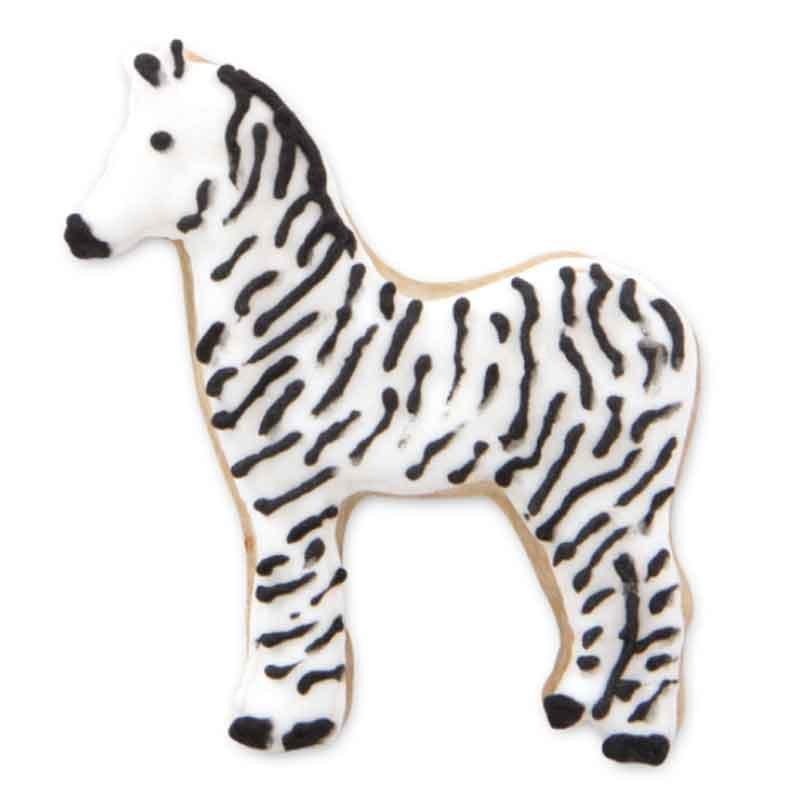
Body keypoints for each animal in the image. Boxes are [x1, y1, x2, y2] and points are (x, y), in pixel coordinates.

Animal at [64, 41, 698, 765]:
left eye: (161, 140)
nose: (76, 234)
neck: (295, 309)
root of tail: (654, 306)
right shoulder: (283, 496)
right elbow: (293, 596)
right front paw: (285, 713)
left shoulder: (290, 493)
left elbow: (291, 596)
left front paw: (281, 722)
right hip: (568, 489)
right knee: (604, 590)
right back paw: (574, 703)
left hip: (608, 483)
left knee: (659, 595)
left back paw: (639, 737)